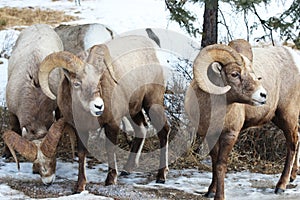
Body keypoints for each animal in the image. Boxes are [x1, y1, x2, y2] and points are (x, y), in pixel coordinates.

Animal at [2, 24, 68, 184]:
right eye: (35, 163)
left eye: (54, 158)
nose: (48, 181)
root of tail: (39, 25)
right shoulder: (13, 113)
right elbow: (14, 129)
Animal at [37, 34, 169, 192]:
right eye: (77, 83)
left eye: (98, 81)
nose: (98, 106)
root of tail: (152, 49)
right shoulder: (80, 129)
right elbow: (82, 153)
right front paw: (80, 186)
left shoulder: (111, 123)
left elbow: (110, 149)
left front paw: (110, 180)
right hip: (133, 110)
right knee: (141, 128)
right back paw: (127, 170)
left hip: (152, 103)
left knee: (164, 131)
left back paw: (161, 176)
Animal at [185, 38, 300, 199]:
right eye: (234, 74)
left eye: (255, 75)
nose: (263, 95)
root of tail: (294, 57)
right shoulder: (211, 135)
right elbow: (214, 162)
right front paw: (210, 191)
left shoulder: (230, 134)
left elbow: (221, 165)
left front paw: (219, 196)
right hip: (279, 118)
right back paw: (293, 177)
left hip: (287, 116)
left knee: (292, 144)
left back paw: (281, 186)